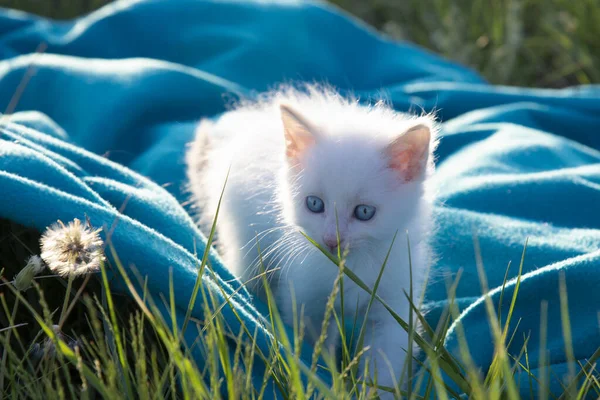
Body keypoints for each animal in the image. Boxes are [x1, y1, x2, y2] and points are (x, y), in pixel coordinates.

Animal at [185, 85, 438, 396]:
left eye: (364, 212)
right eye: (315, 204)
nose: (331, 240)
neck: (349, 269)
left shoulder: (394, 300)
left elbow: (385, 359)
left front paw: (376, 391)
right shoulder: (305, 297)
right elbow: (314, 347)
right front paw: (327, 383)